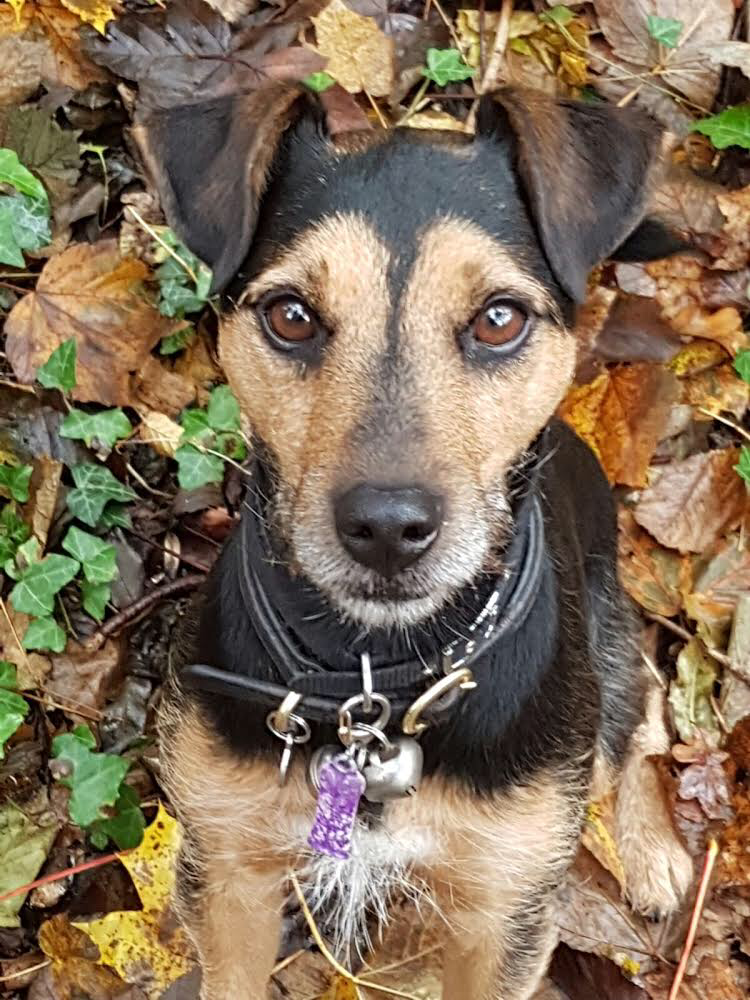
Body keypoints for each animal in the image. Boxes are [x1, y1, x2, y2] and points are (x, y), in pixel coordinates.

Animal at [137, 85, 695, 998]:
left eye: (499, 318)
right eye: (290, 316)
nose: (389, 528)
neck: (376, 678)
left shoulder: (503, 916)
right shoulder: (227, 871)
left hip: (607, 661)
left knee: (640, 718)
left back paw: (651, 853)